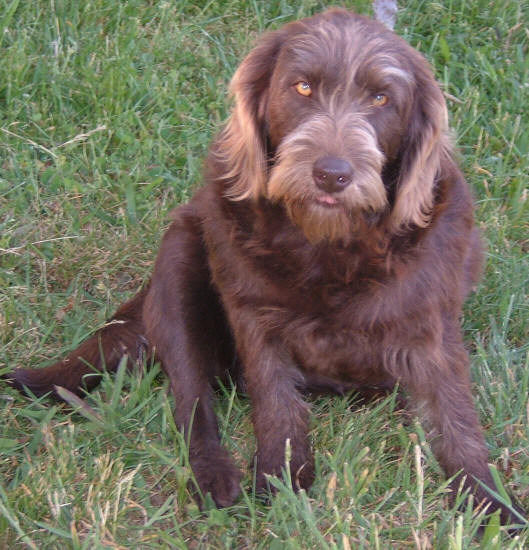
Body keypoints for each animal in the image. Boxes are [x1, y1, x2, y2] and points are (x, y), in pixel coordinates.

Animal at [6, 8, 524, 528]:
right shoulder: (255, 317)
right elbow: (275, 400)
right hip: (178, 261)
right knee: (191, 401)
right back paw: (214, 473)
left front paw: (487, 497)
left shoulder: (429, 323)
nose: (332, 174)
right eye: (302, 88)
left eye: (381, 98)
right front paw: (282, 476)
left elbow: (455, 413)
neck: (328, 244)